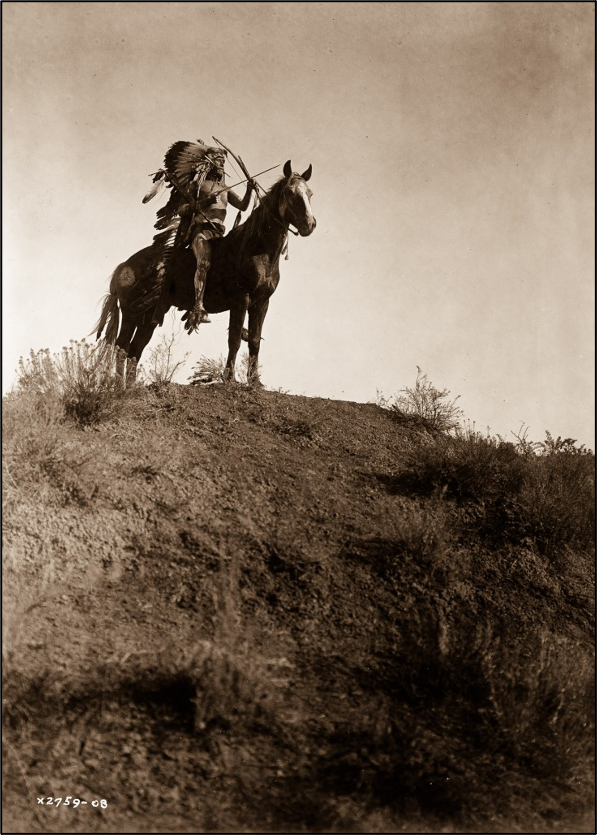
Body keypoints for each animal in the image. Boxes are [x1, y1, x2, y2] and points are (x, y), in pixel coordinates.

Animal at [93, 160, 314, 386]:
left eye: (309, 193)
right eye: (290, 192)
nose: (310, 224)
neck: (256, 249)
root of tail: (123, 266)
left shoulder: (261, 302)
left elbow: (254, 340)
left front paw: (254, 382)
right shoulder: (241, 299)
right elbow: (234, 339)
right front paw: (229, 378)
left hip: (148, 316)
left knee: (134, 350)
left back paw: (130, 386)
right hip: (131, 314)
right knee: (121, 347)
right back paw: (119, 386)